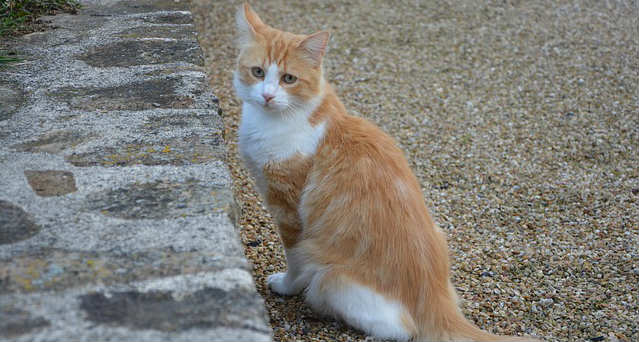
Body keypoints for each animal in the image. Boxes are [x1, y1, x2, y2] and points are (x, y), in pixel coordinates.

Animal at [232, 3, 536, 342]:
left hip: (330, 277)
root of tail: (435, 298)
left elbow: (293, 259)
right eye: (258, 72)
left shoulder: (288, 210)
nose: (268, 96)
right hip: (439, 234)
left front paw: (286, 286)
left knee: (401, 329)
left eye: (288, 78)